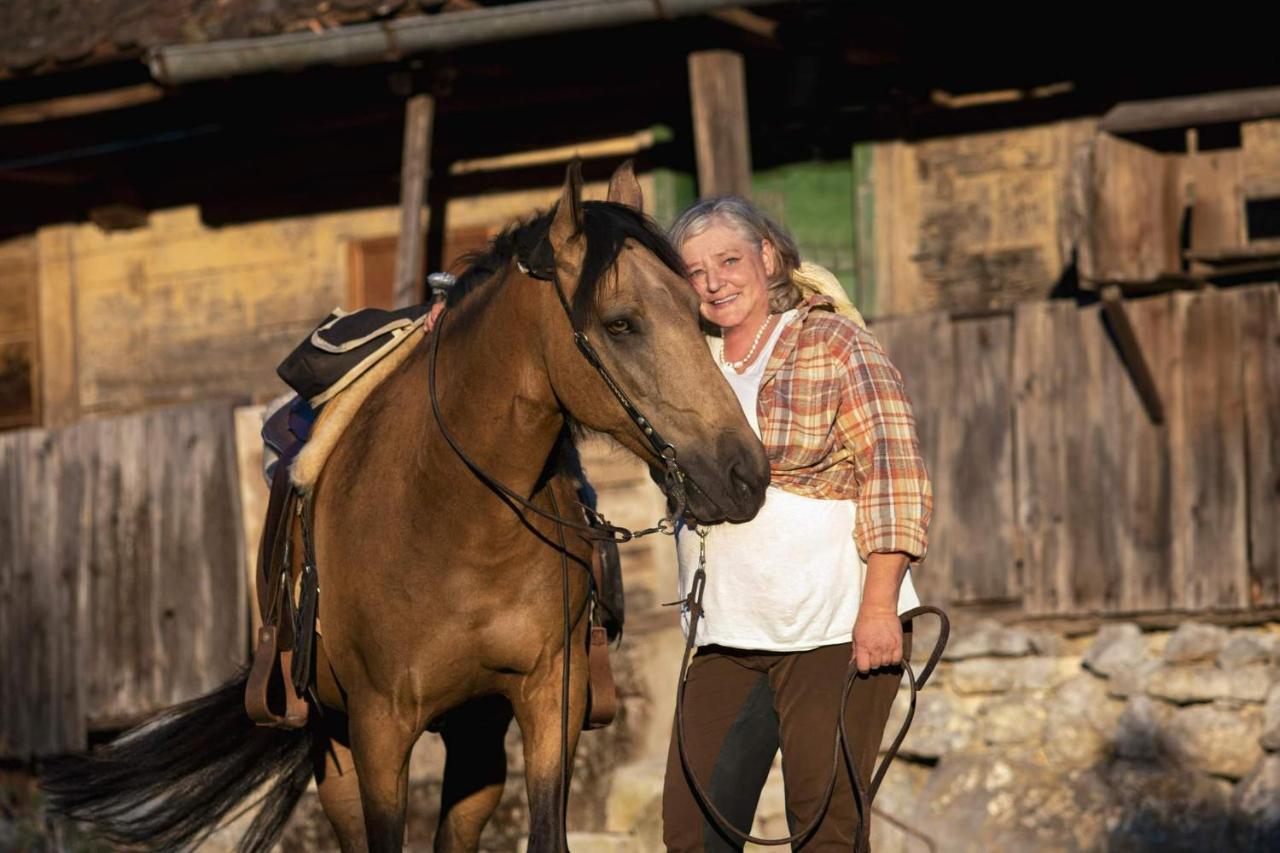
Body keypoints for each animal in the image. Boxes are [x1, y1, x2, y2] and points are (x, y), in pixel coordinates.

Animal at [45, 161, 768, 850]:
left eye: (698, 309)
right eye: (621, 323)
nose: (745, 473)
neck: (454, 519)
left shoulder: (549, 699)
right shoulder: (379, 729)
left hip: (475, 732)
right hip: (333, 742)